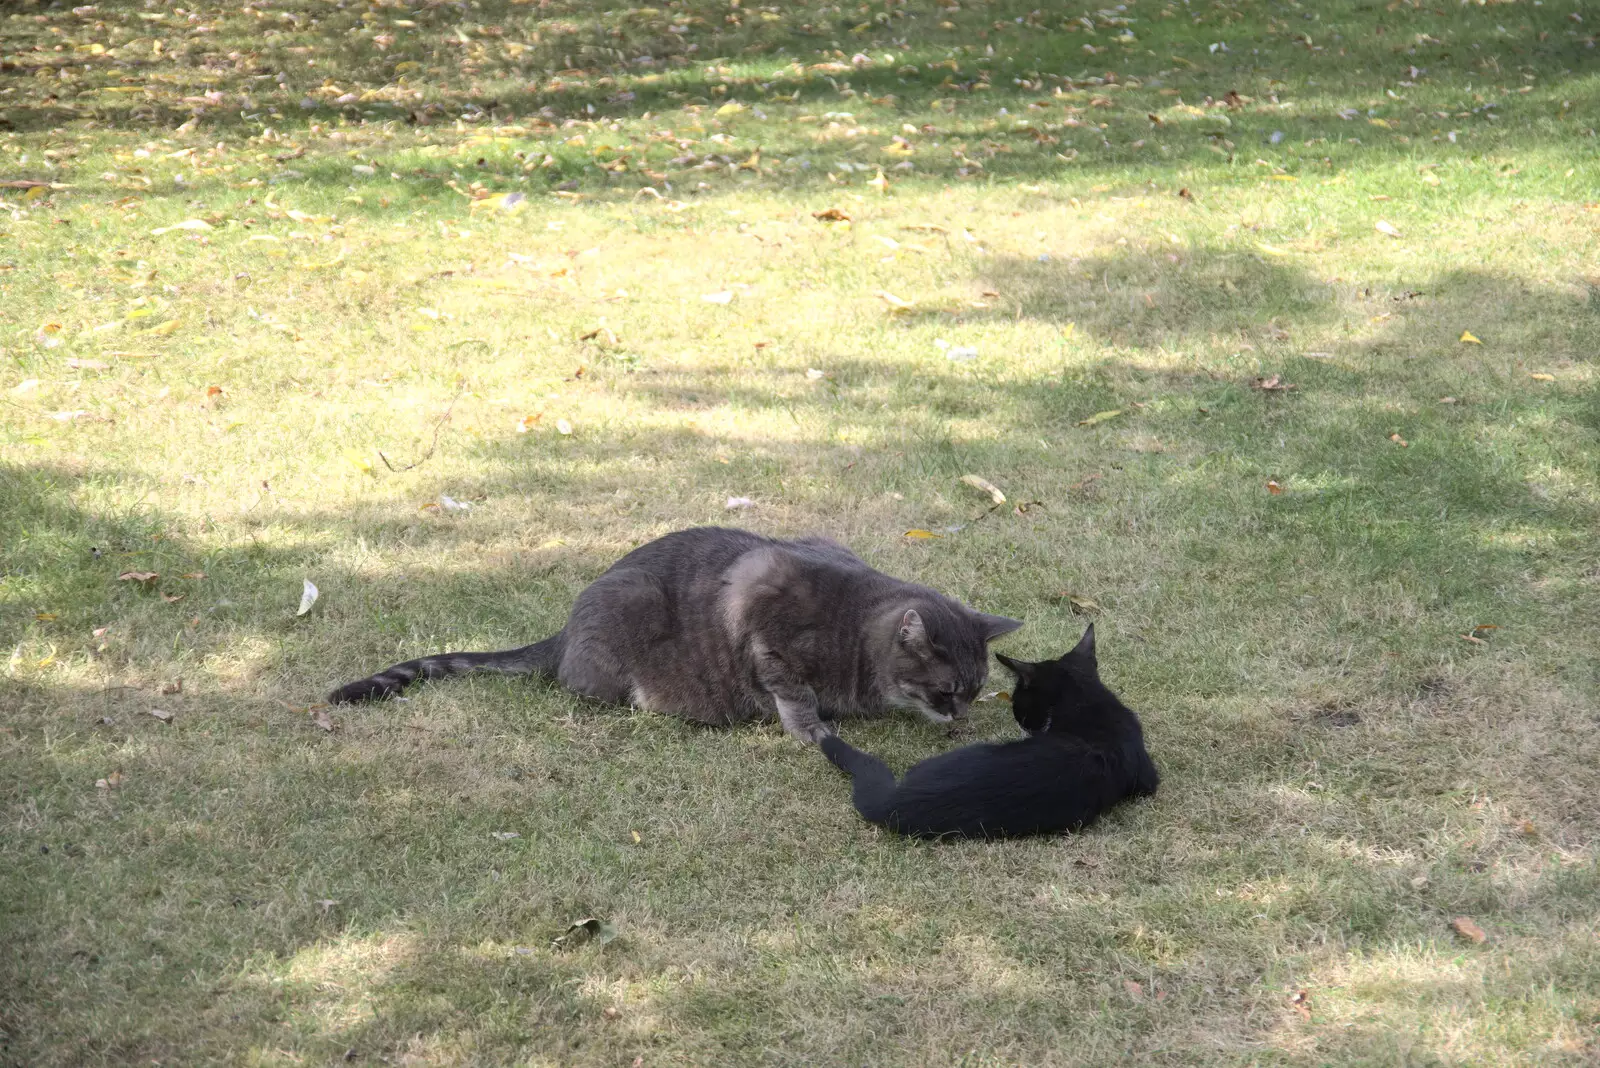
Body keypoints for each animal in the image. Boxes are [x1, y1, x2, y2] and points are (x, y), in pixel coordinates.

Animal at [329, 524, 1017, 741]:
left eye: (975, 689)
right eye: (947, 690)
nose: (960, 718)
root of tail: (562, 631)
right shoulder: (762, 616)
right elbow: (792, 693)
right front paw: (812, 728)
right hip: (626, 614)